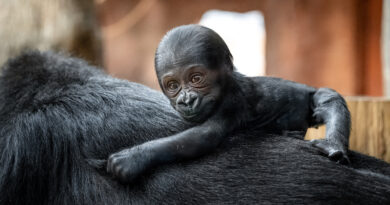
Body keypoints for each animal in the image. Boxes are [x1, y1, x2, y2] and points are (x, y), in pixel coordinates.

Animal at [106, 24, 350, 183]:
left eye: (196, 79)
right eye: (173, 85)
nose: (186, 100)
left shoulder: (232, 102)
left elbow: (202, 137)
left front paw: (134, 158)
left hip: (309, 98)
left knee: (328, 99)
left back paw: (333, 145)